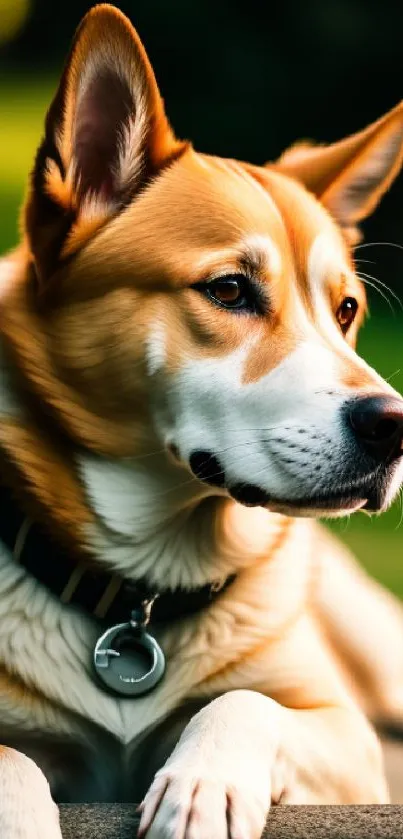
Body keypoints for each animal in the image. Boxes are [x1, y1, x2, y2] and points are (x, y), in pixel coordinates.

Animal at [3, 3, 403, 836]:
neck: (142, 596)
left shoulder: (345, 737)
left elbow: (245, 701)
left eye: (345, 310)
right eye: (228, 290)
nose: (394, 424)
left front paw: (205, 784)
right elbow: (9, 758)